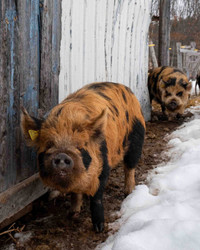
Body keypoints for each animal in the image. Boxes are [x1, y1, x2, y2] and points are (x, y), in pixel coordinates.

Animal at [20, 82, 145, 232]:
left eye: (79, 146)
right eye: (49, 145)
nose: (62, 155)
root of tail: (126, 88)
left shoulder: (103, 166)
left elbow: (96, 196)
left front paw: (99, 228)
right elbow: (75, 193)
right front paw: (72, 214)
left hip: (136, 137)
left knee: (130, 167)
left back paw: (128, 193)